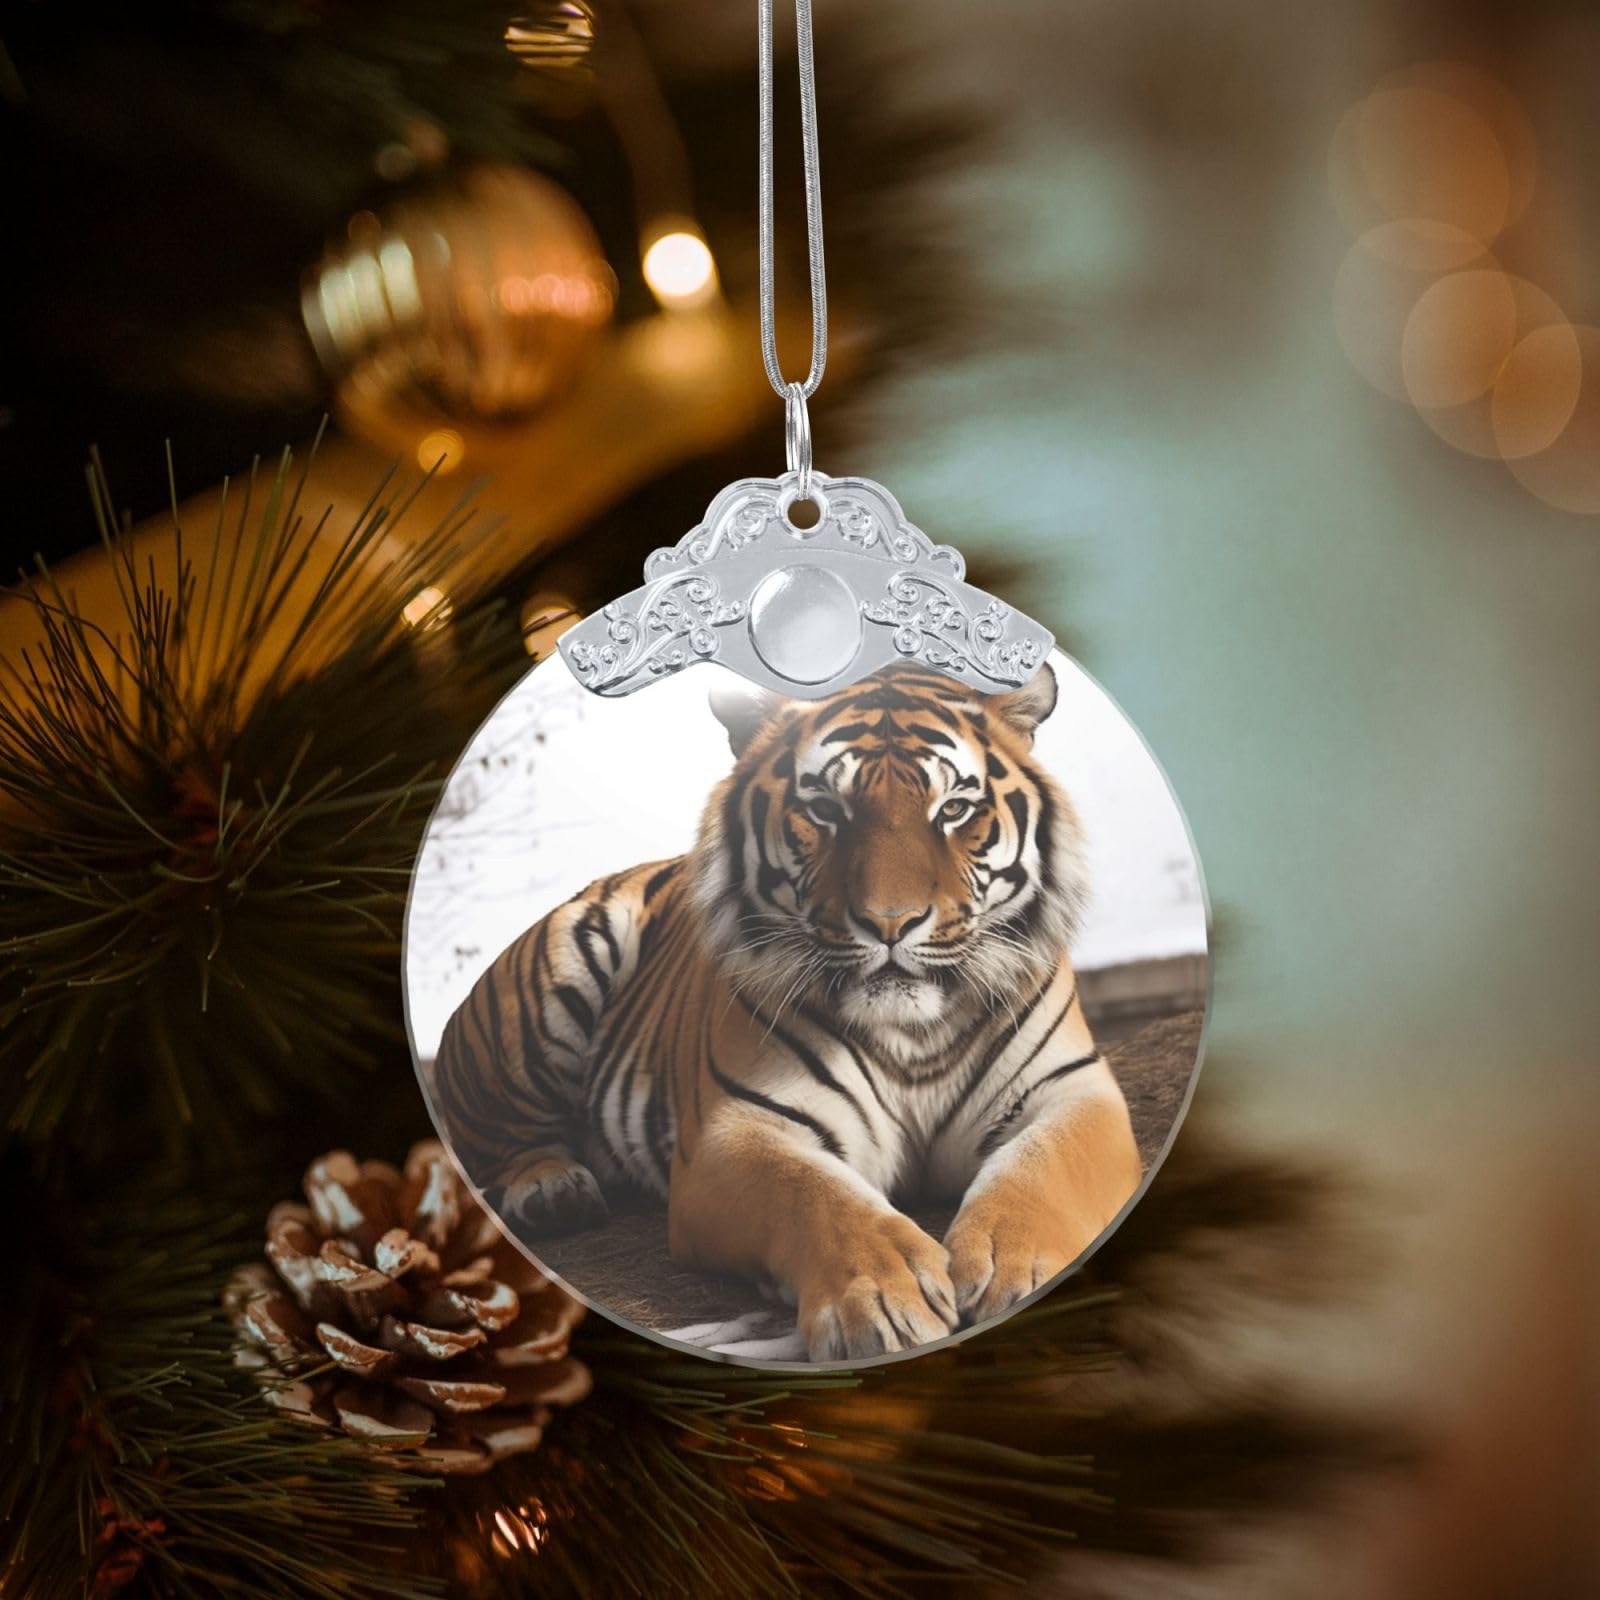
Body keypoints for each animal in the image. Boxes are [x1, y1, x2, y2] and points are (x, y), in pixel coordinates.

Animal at [430, 662, 1142, 1361]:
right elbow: (816, 1196)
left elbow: (1043, 1168)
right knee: (507, 1141)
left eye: (954, 809)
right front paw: (885, 1300)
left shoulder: (1072, 1091)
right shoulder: (737, 1130)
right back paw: (553, 1192)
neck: (913, 1033)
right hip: (547, 990)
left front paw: (1015, 1272)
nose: (891, 923)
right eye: (825, 810)